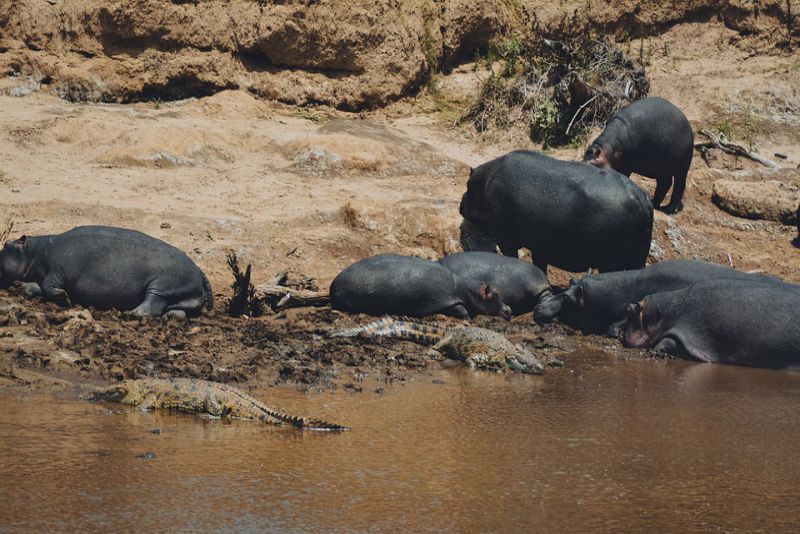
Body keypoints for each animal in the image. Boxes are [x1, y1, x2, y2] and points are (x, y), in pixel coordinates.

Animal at [0, 226, 214, 318]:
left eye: (5, 243)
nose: (6, 242)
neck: (35, 252)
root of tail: (198, 269)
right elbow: (37, 286)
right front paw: (21, 287)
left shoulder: (58, 270)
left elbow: (49, 285)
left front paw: (65, 299)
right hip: (179, 294)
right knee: (175, 310)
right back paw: (170, 318)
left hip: (162, 285)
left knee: (152, 304)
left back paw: (130, 313)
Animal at [328, 253, 510, 320]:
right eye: (495, 293)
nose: (509, 309)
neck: (467, 290)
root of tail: (334, 284)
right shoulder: (445, 299)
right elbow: (462, 309)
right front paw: (467, 318)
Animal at [460, 151, 652, 276]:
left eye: (467, 185)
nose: (460, 205)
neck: (486, 180)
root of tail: (640, 197)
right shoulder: (540, 245)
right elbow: (540, 265)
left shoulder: (506, 239)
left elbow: (512, 256)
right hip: (638, 258)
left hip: (611, 262)